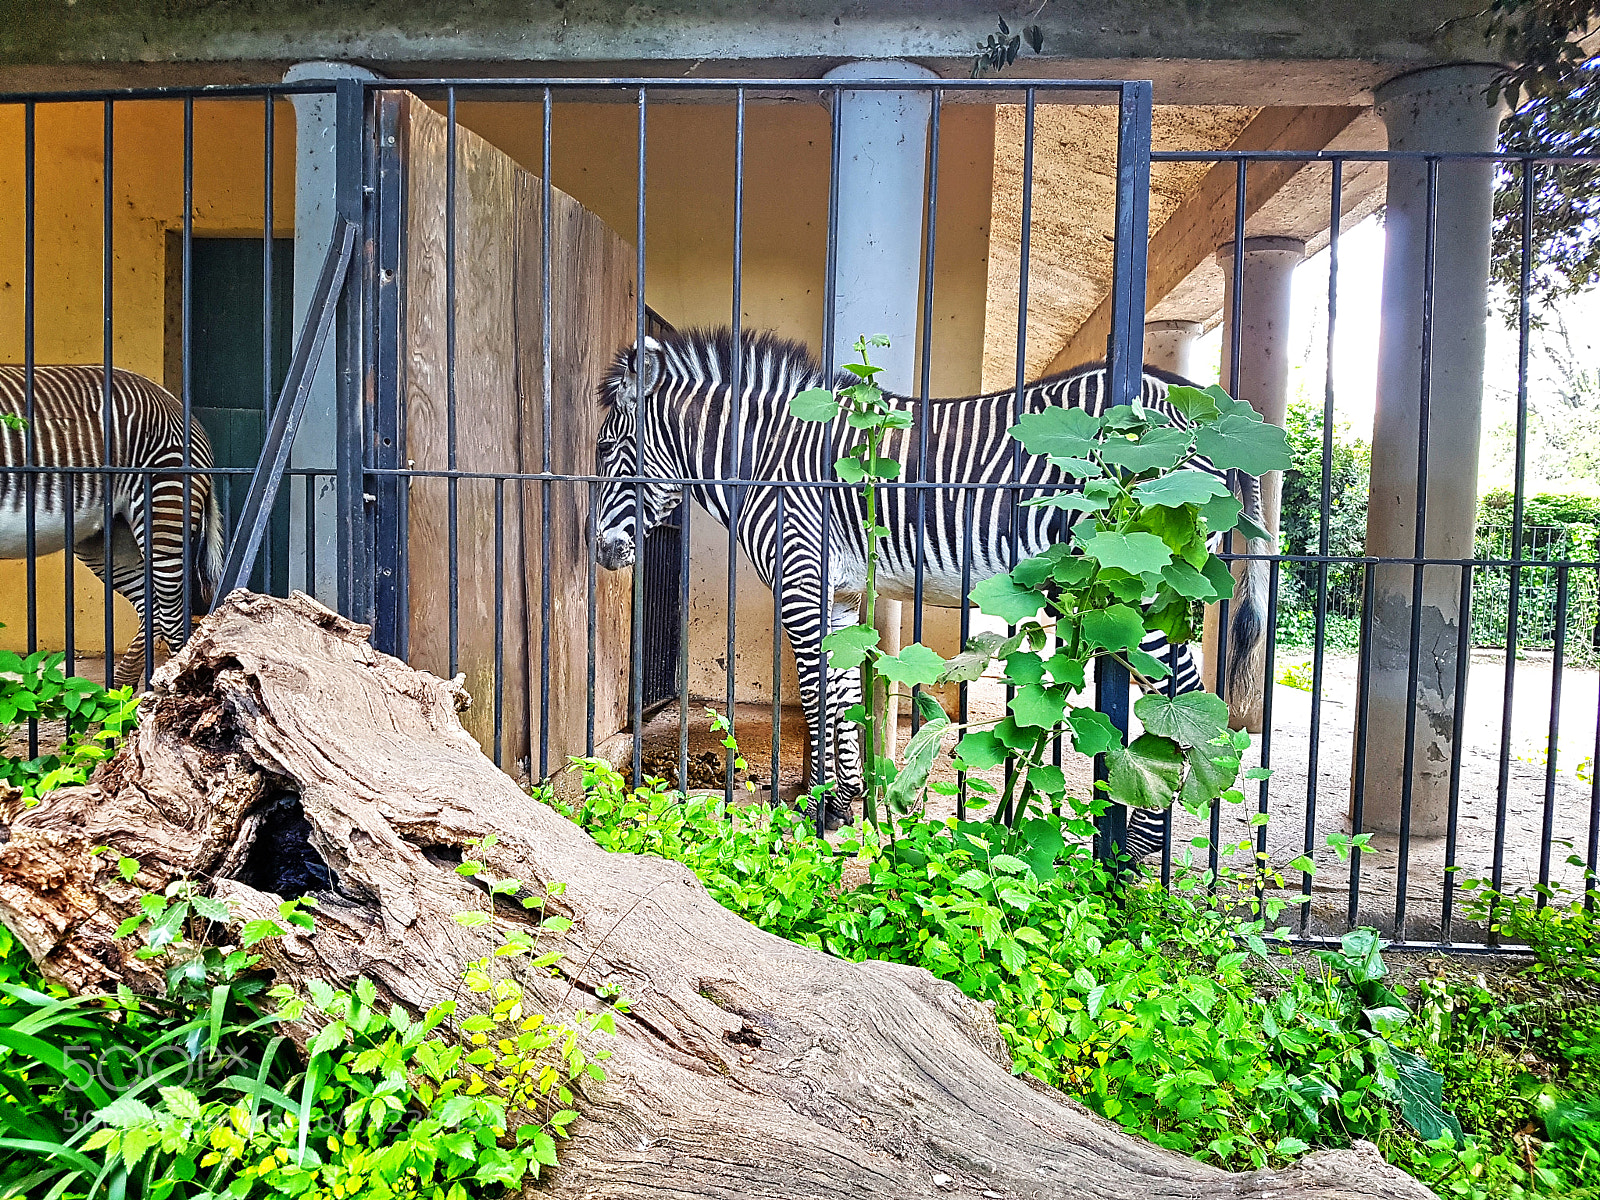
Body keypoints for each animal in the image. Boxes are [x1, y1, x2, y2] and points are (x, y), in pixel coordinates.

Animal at [0, 365, 225, 688]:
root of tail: (176, 402)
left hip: (164, 510)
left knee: (173, 616)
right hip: (107, 536)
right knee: (151, 607)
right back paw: (120, 699)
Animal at [590, 329, 1266, 852]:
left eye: (604, 448)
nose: (601, 553)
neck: (765, 461)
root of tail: (1204, 401)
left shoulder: (801, 584)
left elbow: (817, 699)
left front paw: (820, 810)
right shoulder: (838, 597)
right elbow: (844, 698)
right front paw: (847, 804)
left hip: (1140, 580)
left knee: (1180, 697)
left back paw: (1137, 852)